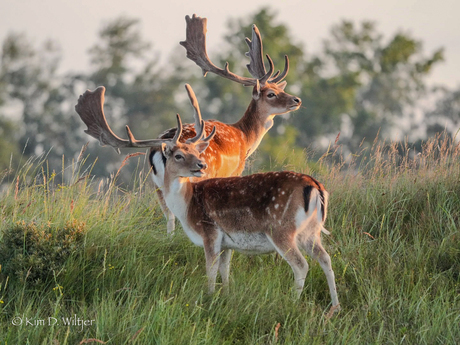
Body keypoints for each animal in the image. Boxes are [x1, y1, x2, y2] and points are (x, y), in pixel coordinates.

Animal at [75, 83, 340, 312]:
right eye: (179, 155)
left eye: (194, 151)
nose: (201, 165)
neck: (187, 205)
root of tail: (316, 187)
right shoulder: (228, 242)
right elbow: (225, 271)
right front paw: (226, 296)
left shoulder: (209, 230)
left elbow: (210, 270)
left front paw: (209, 298)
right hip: (311, 231)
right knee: (326, 259)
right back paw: (334, 307)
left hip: (281, 228)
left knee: (301, 264)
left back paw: (293, 303)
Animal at [150, 14, 302, 234]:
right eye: (271, 94)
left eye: (279, 88)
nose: (297, 100)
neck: (244, 137)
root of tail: (159, 149)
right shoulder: (236, 170)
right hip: (196, 172)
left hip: (157, 184)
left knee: (169, 215)